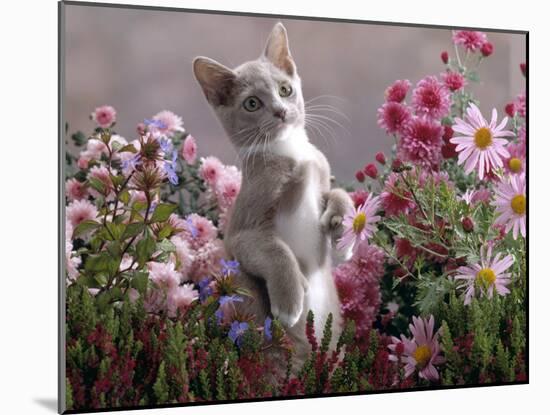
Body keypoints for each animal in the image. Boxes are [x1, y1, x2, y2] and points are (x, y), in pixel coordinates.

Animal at [193, 22, 354, 368]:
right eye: (252, 103)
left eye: (285, 90)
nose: (281, 112)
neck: (291, 154)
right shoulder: (243, 229)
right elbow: (275, 249)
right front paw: (289, 301)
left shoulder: (320, 171)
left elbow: (336, 193)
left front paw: (343, 231)